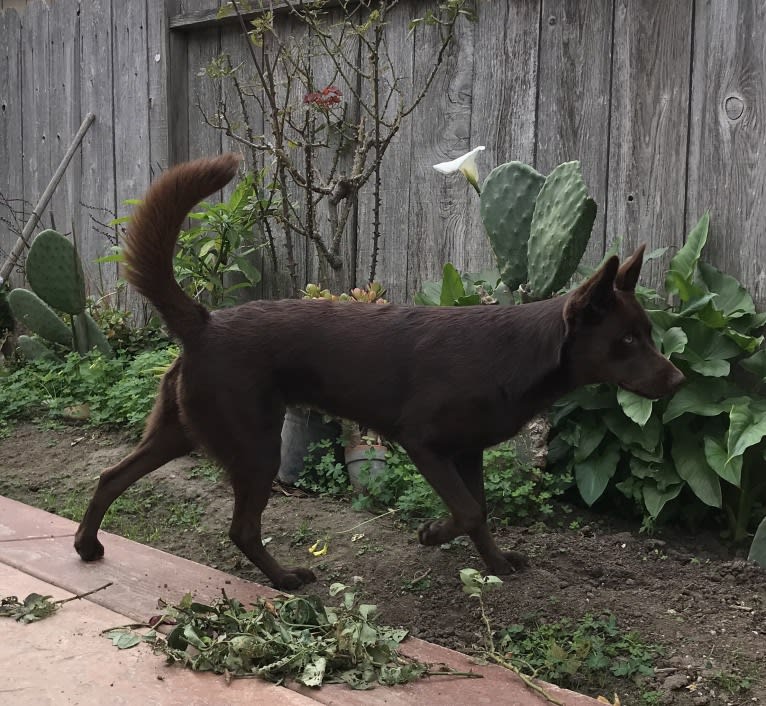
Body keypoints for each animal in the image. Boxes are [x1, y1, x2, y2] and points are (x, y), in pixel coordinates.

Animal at [75, 155, 688, 588]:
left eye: (649, 335)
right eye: (626, 340)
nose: (678, 381)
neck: (520, 352)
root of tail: (204, 323)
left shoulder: (467, 452)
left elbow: (480, 510)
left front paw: (494, 563)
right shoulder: (424, 442)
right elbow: (468, 510)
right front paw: (433, 533)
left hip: (183, 430)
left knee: (111, 476)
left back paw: (87, 546)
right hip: (255, 444)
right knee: (240, 527)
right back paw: (286, 580)